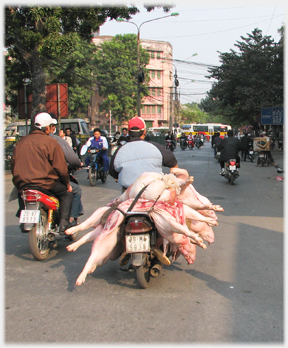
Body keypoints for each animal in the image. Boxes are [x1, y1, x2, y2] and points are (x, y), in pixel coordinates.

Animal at [66, 168, 225, 288]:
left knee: (91, 239)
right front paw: (207, 228)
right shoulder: (179, 214)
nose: (190, 260)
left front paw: (212, 218)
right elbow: (193, 220)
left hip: (109, 232)